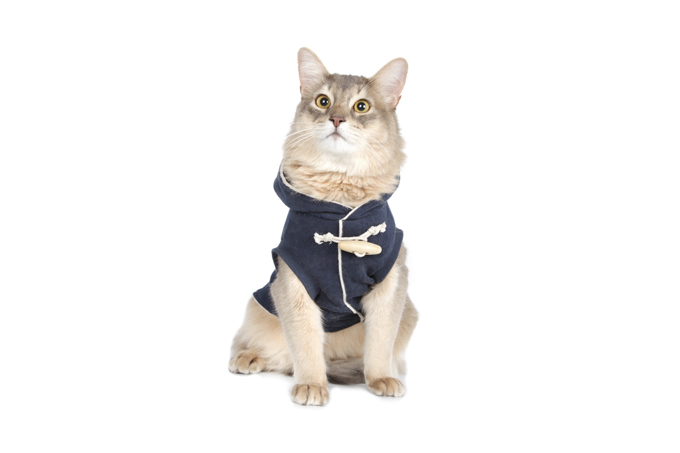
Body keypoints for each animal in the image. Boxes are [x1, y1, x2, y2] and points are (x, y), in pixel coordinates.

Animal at [229, 48, 418, 406]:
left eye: (361, 106)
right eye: (322, 101)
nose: (337, 119)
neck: (340, 202)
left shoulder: (391, 281)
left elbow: (380, 341)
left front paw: (380, 378)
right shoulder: (292, 280)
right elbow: (304, 341)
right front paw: (312, 385)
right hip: (259, 306)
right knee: (265, 348)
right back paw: (248, 357)